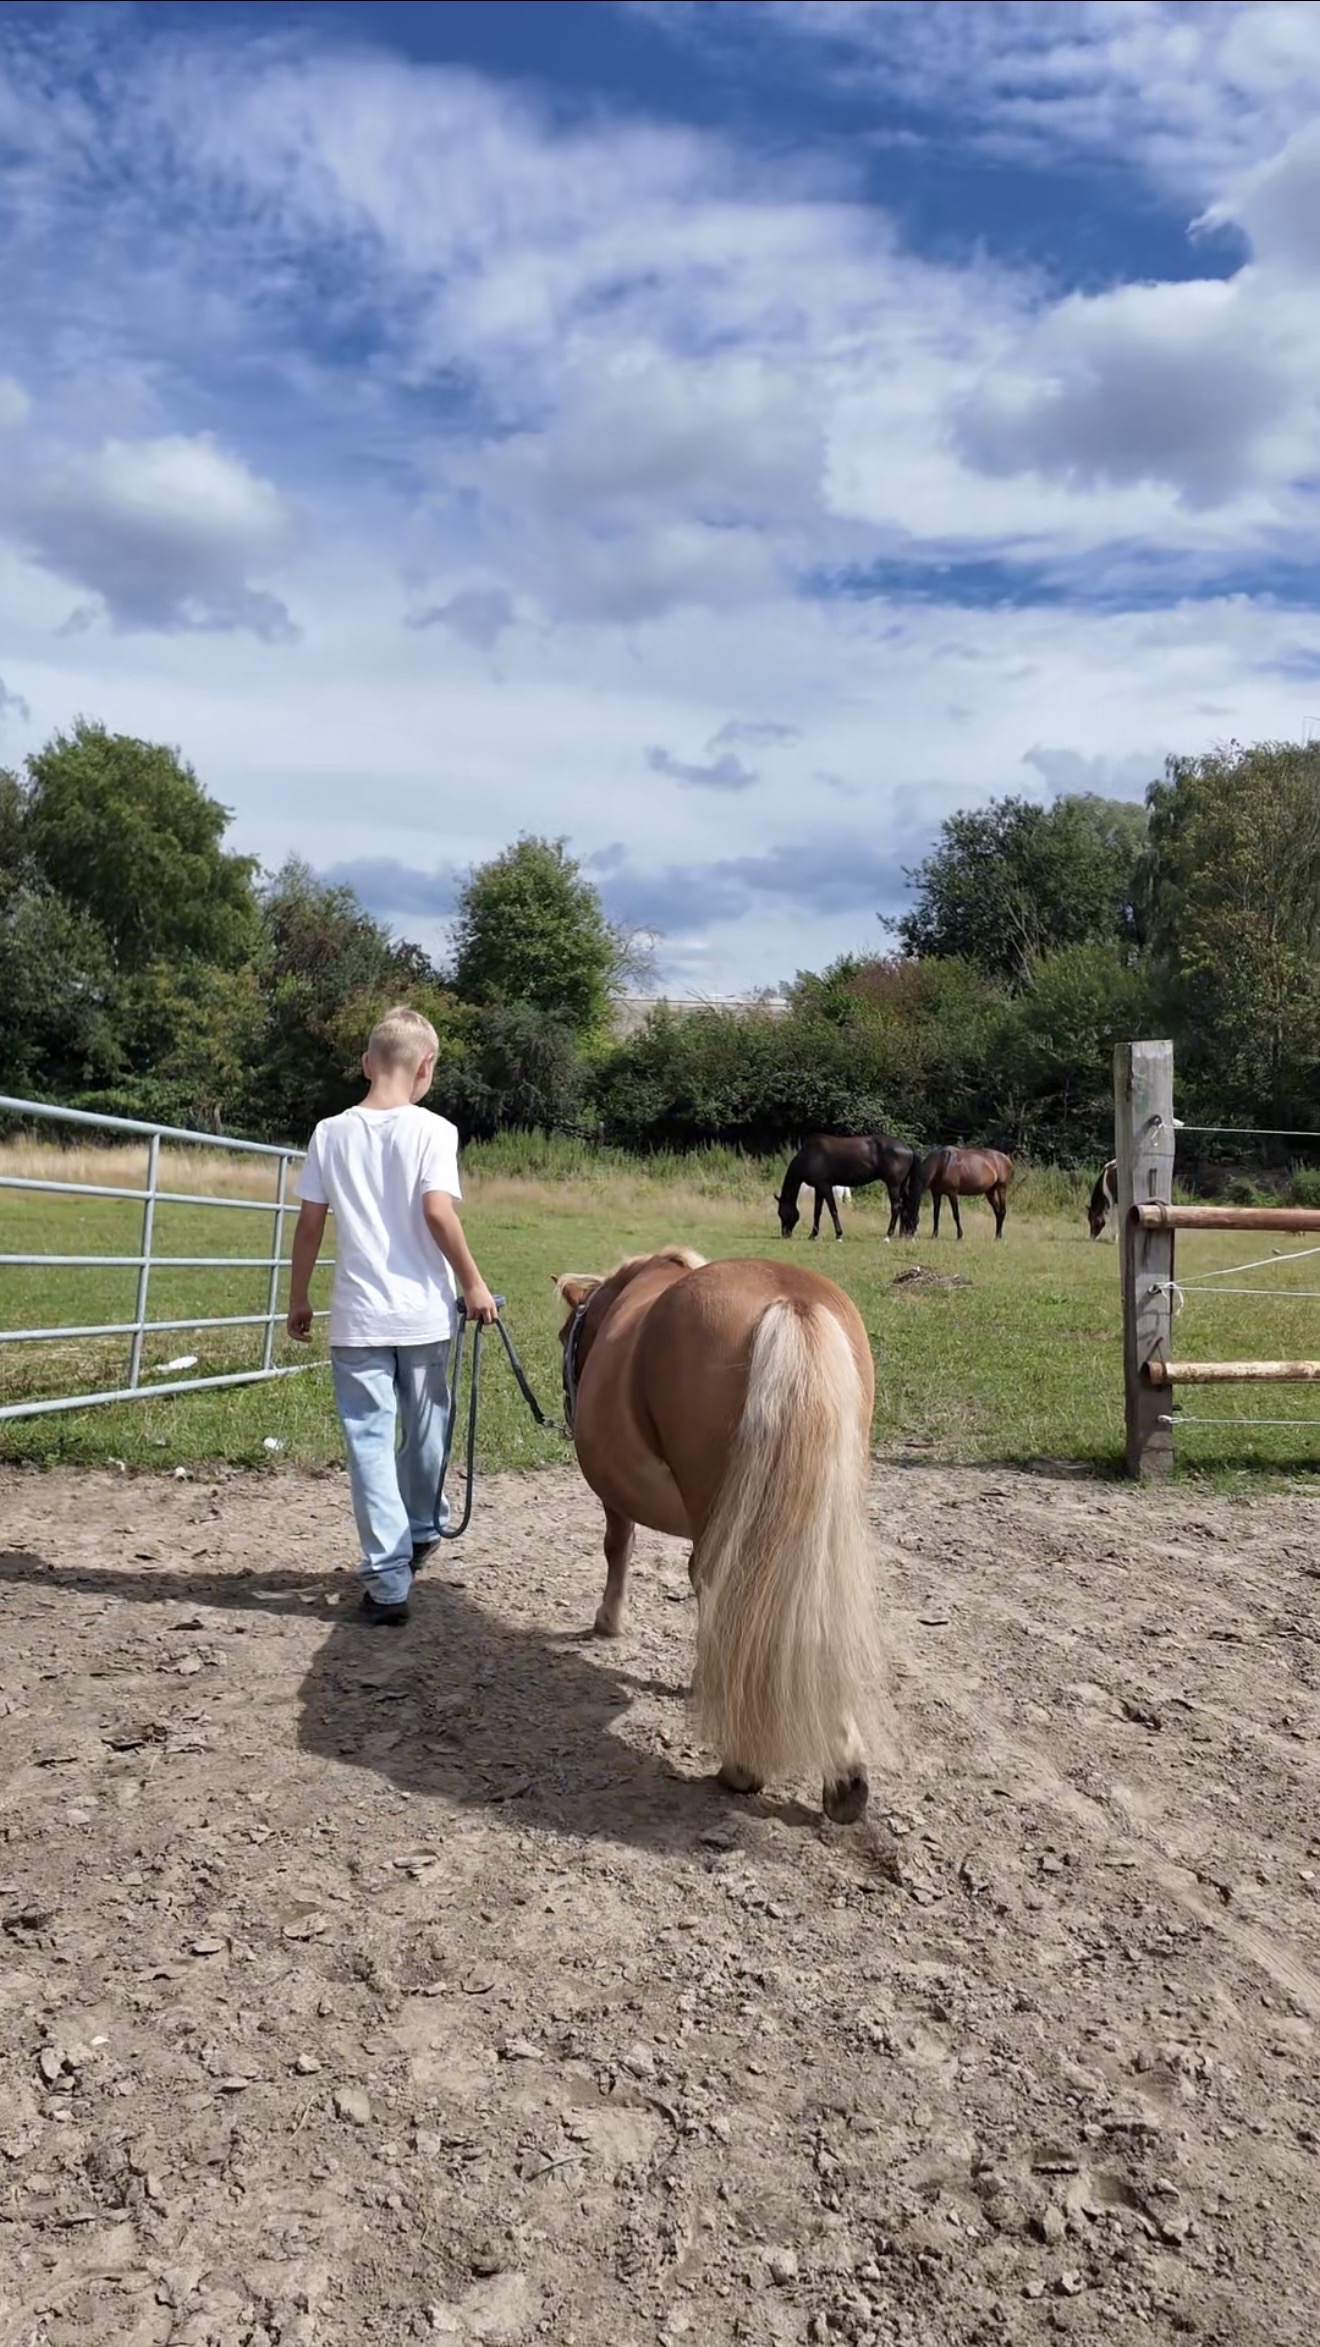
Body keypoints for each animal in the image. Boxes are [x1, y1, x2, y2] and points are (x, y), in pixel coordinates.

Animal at [554, 1245, 884, 1824]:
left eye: (561, 1337)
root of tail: (791, 1301)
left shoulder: (618, 1498)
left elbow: (619, 1547)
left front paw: (610, 1622)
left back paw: (741, 1766)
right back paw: (845, 1780)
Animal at [777, 1132, 916, 1242]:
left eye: (781, 1213)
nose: (785, 1234)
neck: (810, 1155)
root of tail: (908, 1148)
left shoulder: (825, 1187)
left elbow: (833, 1210)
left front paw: (838, 1235)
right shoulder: (819, 1189)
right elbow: (817, 1212)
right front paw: (813, 1235)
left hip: (893, 1186)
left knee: (896, 1207)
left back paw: (888, 1236)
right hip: (902, 1186)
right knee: (906, 1207)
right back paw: (906, 1235)